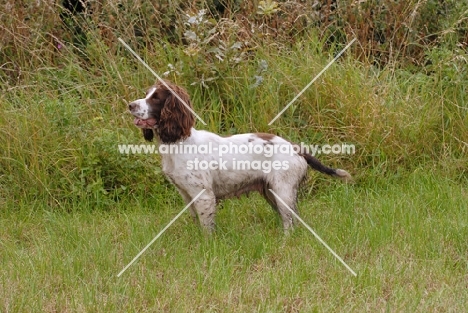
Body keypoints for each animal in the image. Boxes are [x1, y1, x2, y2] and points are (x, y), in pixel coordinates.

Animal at [128, 80, 352, 232]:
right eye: (146, 94)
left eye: (156, 98)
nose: (130, 105)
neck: (179, 143)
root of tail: (295, 147)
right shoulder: (186, 194)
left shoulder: (204, 194)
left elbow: (207, 227)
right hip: (271, 192)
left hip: (283, 191)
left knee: (290, 222)